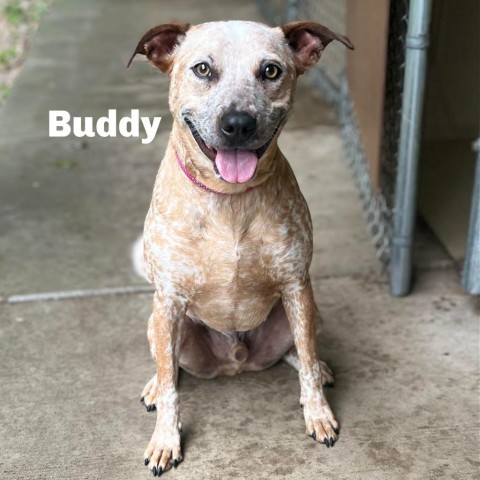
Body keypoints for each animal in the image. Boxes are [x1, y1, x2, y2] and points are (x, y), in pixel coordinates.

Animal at [127, 19, 352, 476]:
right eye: (202, 69)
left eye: (270, 70)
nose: (238, 123)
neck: (229, 199)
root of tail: (236, 359)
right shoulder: (169, 301)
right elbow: (172, 389)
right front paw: (165, 440)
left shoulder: (297, 288)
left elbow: (306, 362)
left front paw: (318, 411)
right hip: (159, 323)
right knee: (168, 365)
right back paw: (155, 385)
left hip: (306, 312)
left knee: (299, 354)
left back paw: (319, 367)